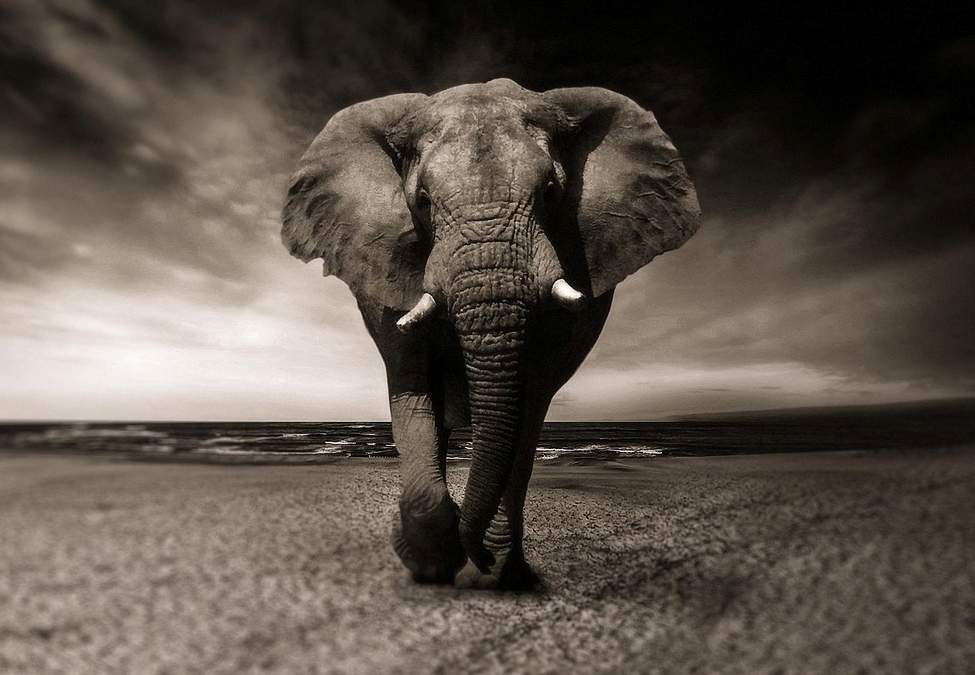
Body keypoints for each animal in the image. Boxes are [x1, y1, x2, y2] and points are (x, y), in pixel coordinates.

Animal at [281, 78, 700, 590]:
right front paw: (431, 563)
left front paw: (489, 570)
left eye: (551, 192)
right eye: (422, 201)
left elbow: (528, 401)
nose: (475, 553)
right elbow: (412, 386)